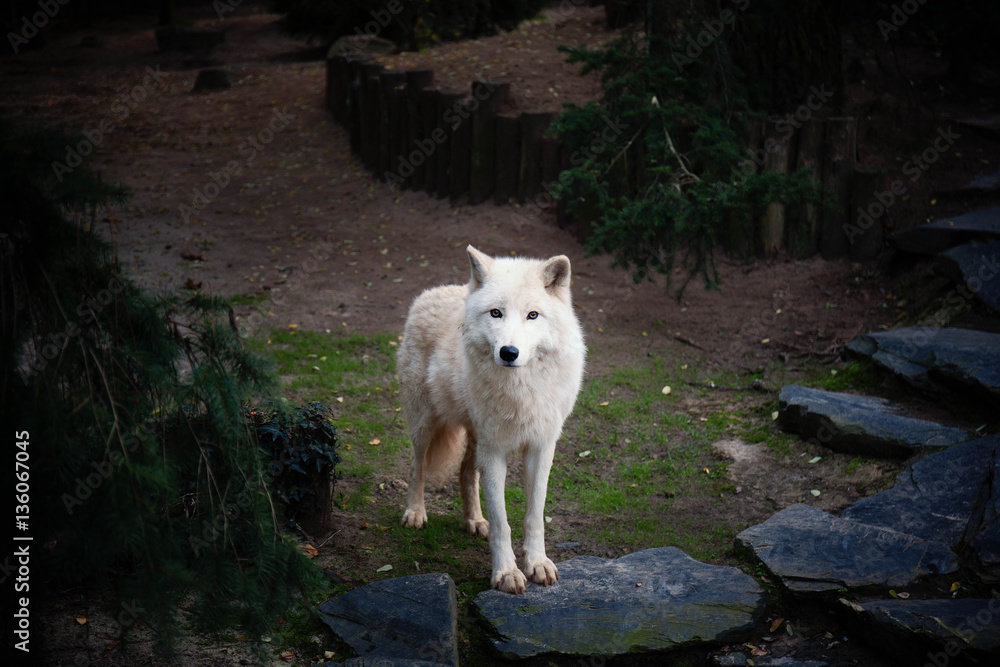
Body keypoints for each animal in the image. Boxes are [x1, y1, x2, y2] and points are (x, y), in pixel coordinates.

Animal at [397, 245, 585, 594]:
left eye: (533, 315)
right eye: (496, 313)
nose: (509, 352)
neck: (521, 389)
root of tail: (434, 290)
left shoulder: (541, 446)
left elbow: (534, 515)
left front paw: (538, 564)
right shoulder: (495, 451)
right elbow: (502, 521)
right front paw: (507, 573)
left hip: (476, 436)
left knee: (465, 473)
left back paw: (473, 520)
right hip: (426, 424)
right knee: (418, 466)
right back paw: (415, 512)